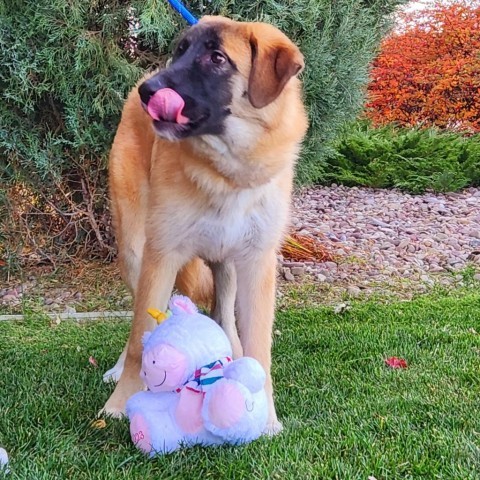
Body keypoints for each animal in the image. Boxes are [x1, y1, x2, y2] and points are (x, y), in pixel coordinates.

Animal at [103, 15, 310, 436]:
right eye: (181, 51)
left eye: (217, 58)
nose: (148, 92)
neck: (228, 173)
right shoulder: (161, 256)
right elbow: (138, 341)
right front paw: (119, 403)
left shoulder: (256, 266)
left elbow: (259, 349)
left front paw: (265, 417)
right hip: (134, 249)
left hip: (227, 266)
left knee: (224, 317)